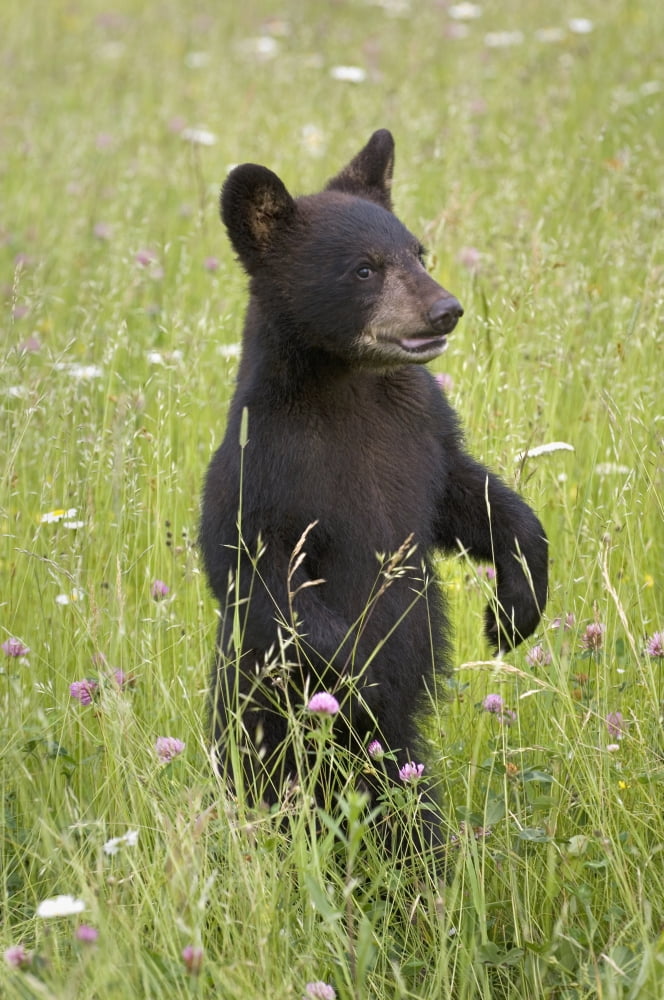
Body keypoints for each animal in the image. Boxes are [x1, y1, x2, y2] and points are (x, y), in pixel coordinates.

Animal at [200, 128, 548, 848]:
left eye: (418, 251)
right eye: (364, 269)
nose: (446, 310)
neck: (352, 385)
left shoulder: (422, 434)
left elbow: (472, 497)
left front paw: (515, 605)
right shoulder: (264, 469)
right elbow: (262, 577)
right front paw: (367, 677)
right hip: (260, 734)